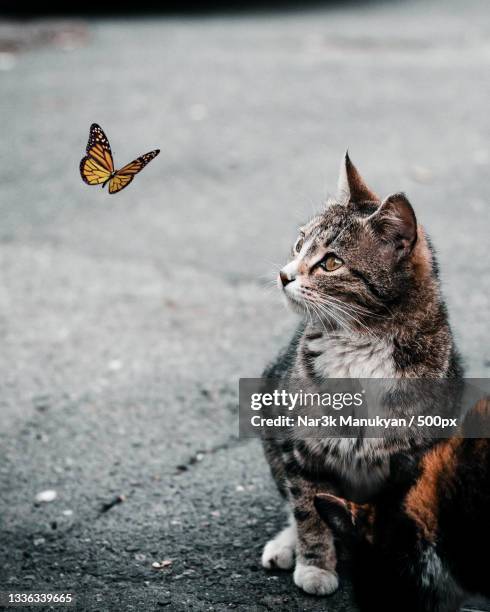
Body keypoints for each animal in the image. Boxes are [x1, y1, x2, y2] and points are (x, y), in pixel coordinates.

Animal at [262, 151, 462, 596]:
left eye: (331, 262)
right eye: (299, 243)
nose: (284, 274)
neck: (361, 341)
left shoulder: (415, 456)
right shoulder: (302, 447)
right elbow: (307, 507)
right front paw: (315, 566)